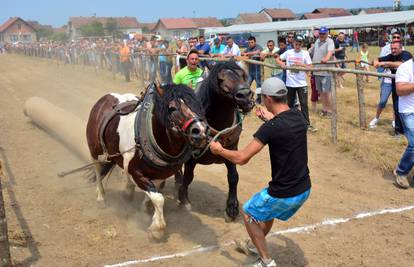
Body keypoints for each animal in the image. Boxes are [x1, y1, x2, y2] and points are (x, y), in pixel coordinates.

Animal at [87, 84, 210, 241]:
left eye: (198, 105)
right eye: (172, 108)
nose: (200, 131)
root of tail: (104, 99)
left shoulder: (161, 174)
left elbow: (154, 192)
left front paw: (145, 209)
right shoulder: (136, 172)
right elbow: (158, 198)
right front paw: (157, 228)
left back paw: (127, 192)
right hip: (95, 151)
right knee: (97, 170)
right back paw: (101, 197)